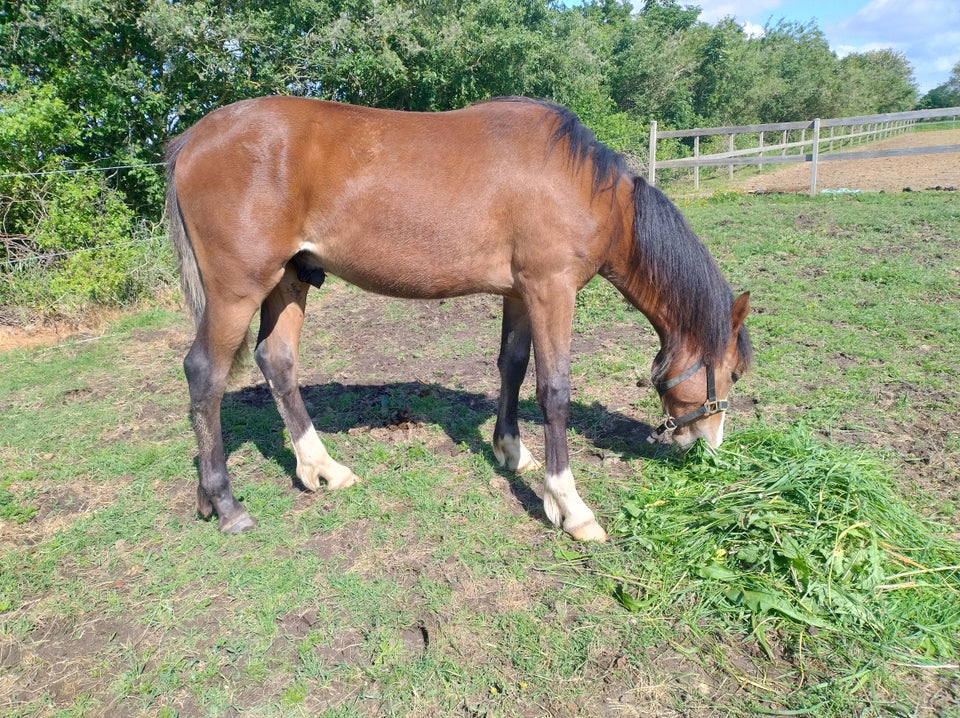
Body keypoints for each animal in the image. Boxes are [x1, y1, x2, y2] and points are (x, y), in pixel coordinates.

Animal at [163, 97, 752, 544]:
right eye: (732, 373)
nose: (708, 443)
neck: (584, 187)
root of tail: (192, 140)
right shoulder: (551, 290)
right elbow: (554, 391)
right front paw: (569, 506)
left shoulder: (520, 294)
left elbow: (512, 366)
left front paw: (510, 450)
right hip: (238, 289)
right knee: (204, 374)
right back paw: (226, 504)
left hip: (289, 279)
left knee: (277, 360)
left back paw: (321, 468)